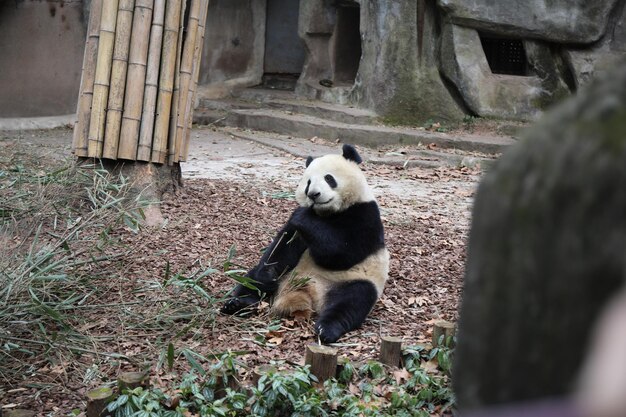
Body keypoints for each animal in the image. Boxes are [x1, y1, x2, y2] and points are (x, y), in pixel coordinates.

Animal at [219, 145, 386, 342]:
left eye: (329, 178)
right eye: (308, 182)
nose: (313, 194)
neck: (326, 213)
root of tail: (308, 292)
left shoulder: (365, 215)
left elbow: (342, 253)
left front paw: (304, 217)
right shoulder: (295, 232)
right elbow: (283, 248)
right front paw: (267, 274)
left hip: (352, 280)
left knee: (353, 300)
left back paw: (327, 329)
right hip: (285, 275)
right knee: (254, 280)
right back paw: (237, 304)